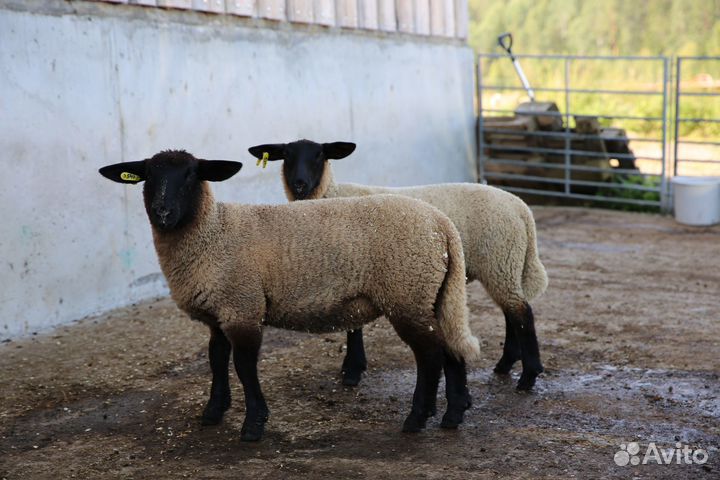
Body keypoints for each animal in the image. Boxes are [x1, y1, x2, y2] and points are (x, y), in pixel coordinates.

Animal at [250, 139, 548, 390]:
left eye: (320, 155)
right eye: (286, 156)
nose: (300, 184)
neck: (330, 193)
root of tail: (520, 207)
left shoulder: (352, 269)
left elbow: (353, 327)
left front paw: (353, 371)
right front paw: (352, 366)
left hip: (500, 260)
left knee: (522, 313)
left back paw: (528, 376)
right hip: (502, 265)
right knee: (512, 312)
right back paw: (505, 364)